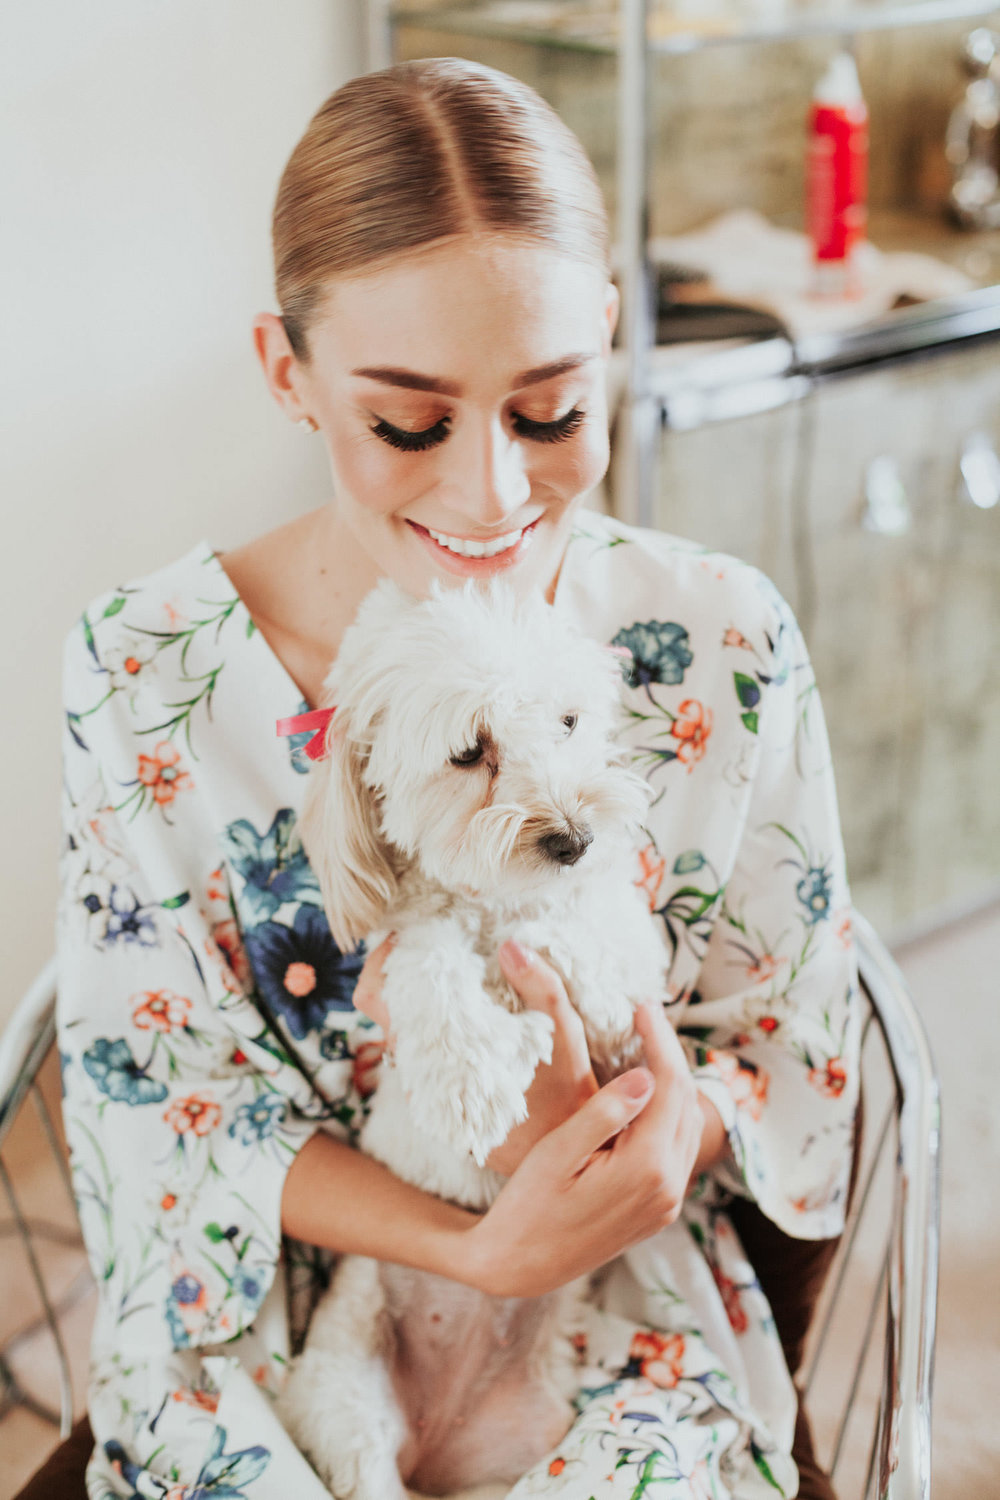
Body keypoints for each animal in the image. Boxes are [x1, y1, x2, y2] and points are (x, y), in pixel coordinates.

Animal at [281, 576, 668, 1500]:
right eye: (468, 753)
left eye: (568, 721)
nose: (574, 838)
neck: (500, 903)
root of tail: (439, 1447)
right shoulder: (411, 946)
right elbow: (431, 970)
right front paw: (471, 1081)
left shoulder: (626, 944)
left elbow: (590, 944)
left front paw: (575, 985)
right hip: (348, 1402)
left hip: (537, 1441)